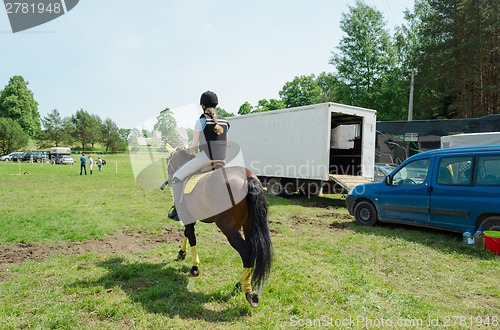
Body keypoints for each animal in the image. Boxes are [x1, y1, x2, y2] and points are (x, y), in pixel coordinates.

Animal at [166, 148, 272, 308]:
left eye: (168, 163)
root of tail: (247, 178)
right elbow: (186, 234)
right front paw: (181, 254)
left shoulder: (187, 217)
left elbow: (191, 237)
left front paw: (194, 267)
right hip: (249, 226)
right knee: (252, 251)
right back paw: (241, 283)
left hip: (230, 229)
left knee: (246, 251)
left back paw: (246, 289)